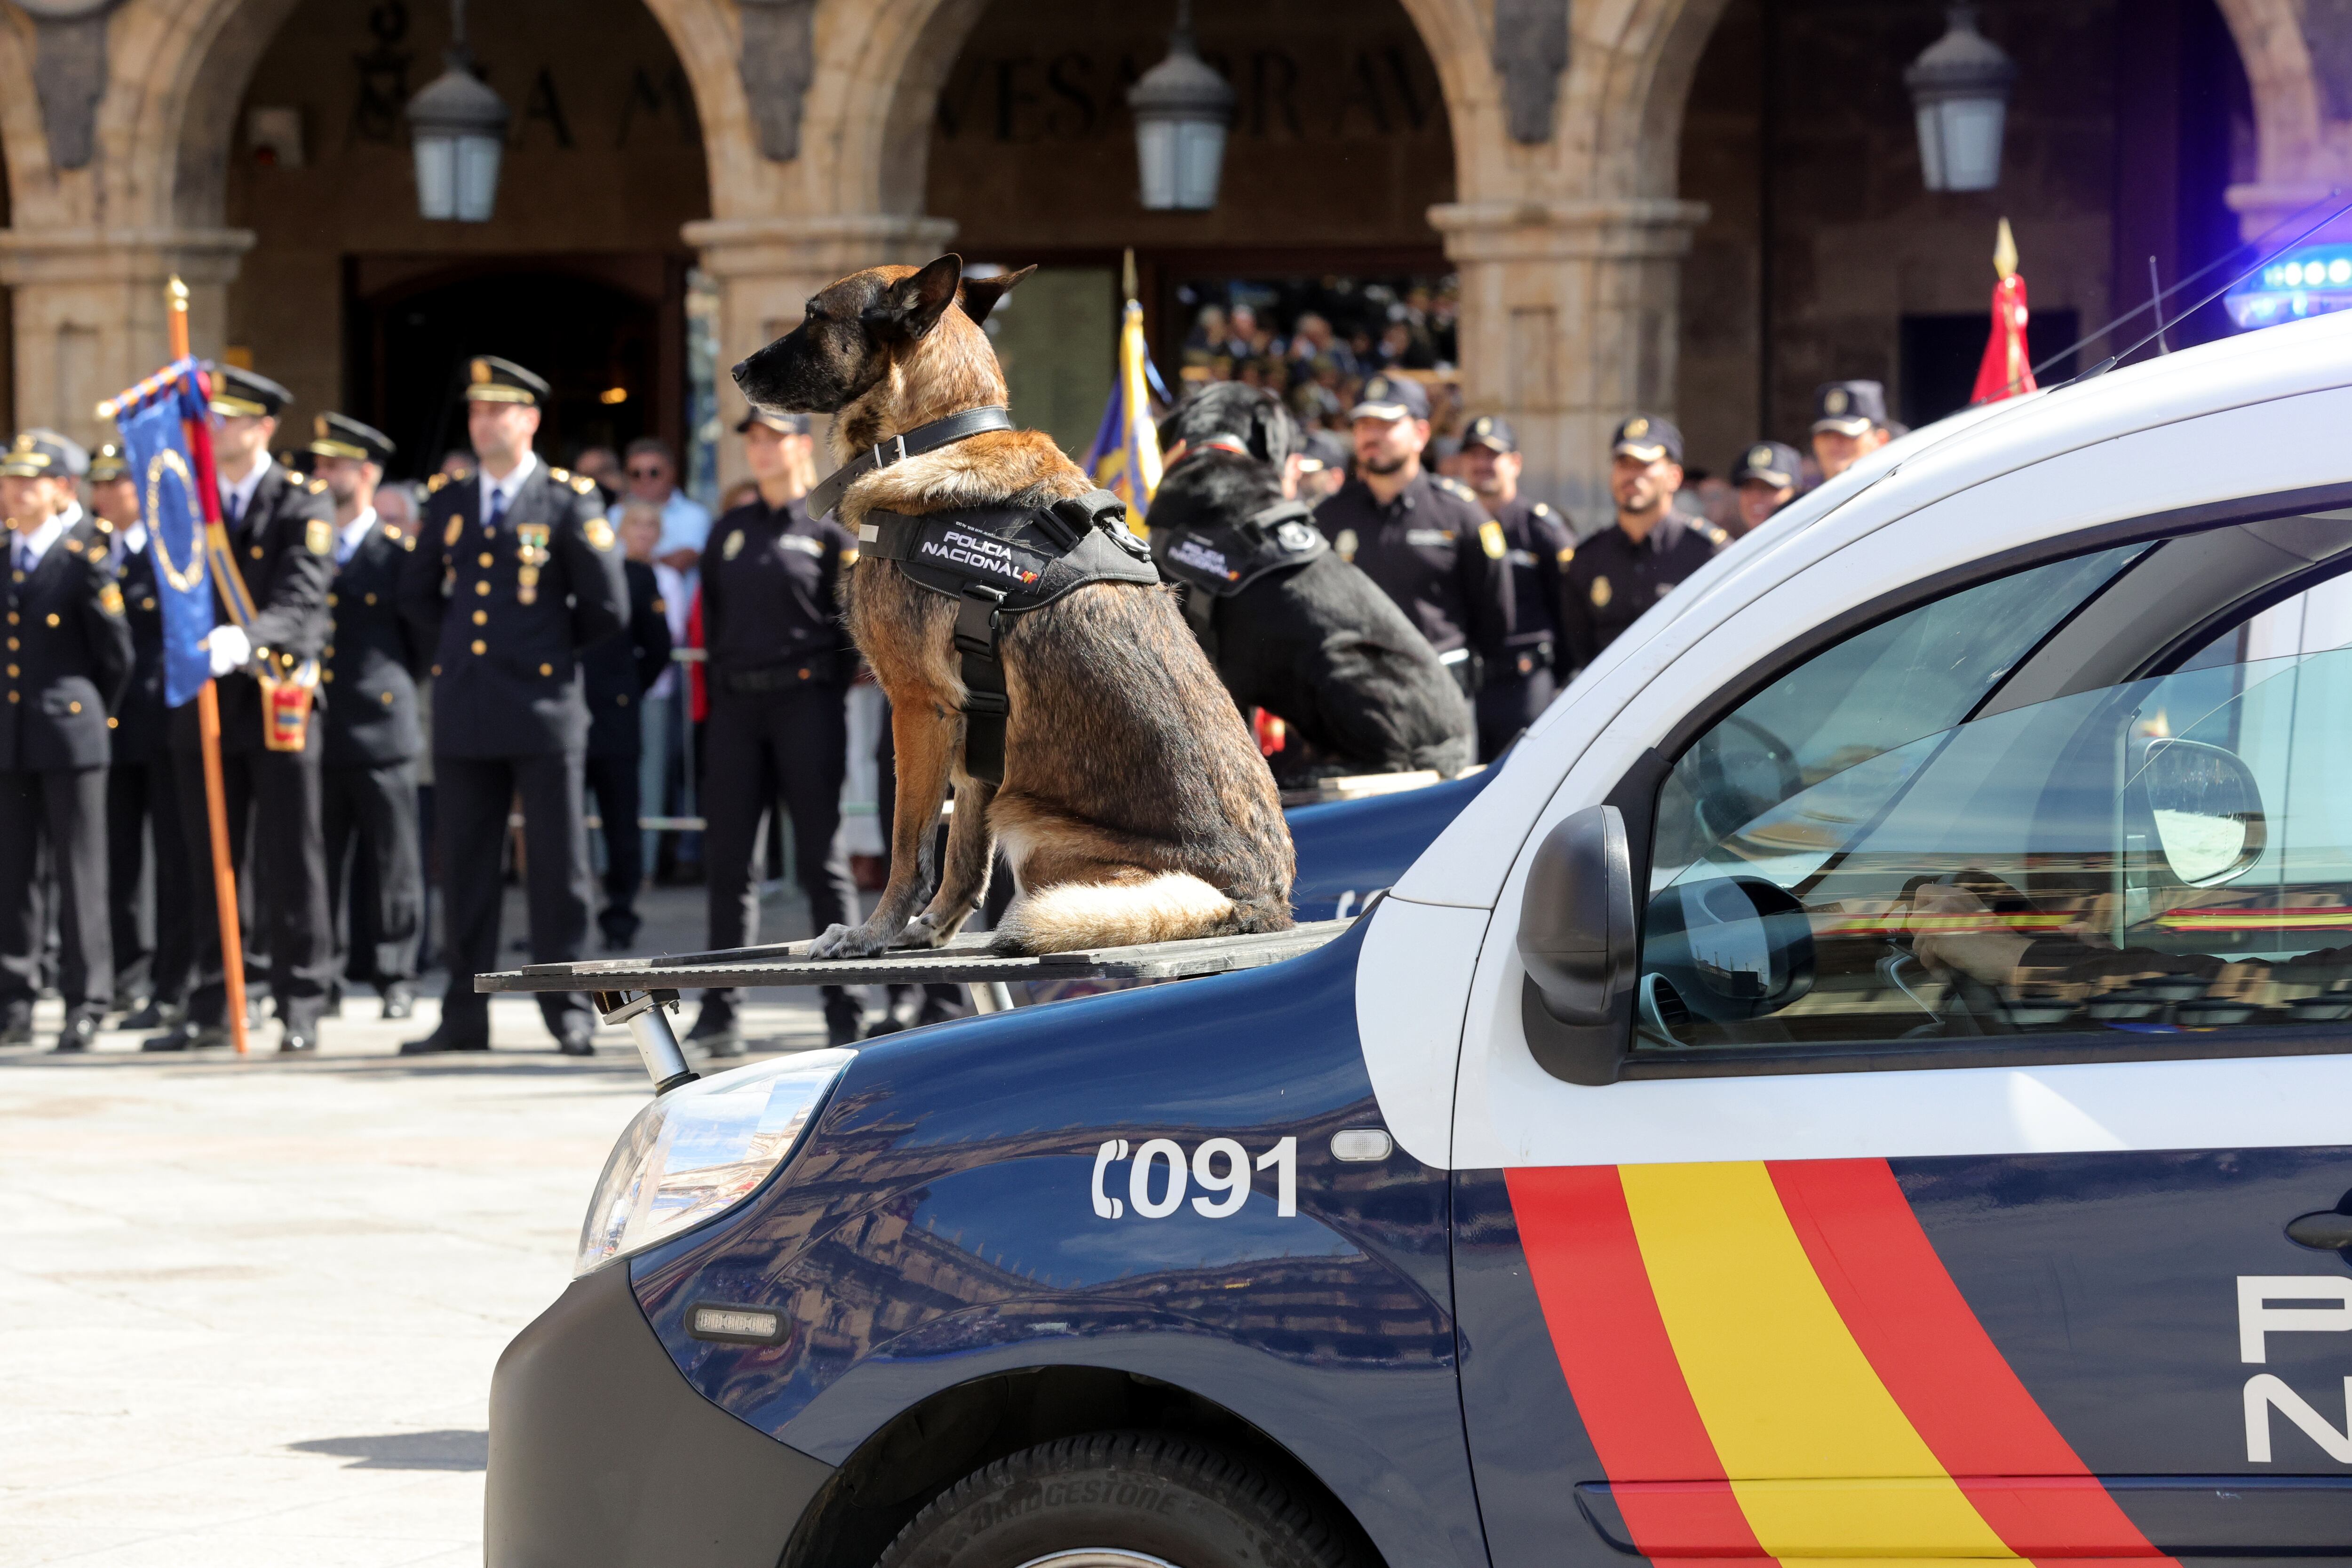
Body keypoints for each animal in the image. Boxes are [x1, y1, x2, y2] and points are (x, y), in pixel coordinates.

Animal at [729, 257, 1298, 959]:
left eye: (813, 316)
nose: (737, 370)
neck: (933, 434)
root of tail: (1258, 902)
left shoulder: (919, 708)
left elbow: (908, 849)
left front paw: (871, 934)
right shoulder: (979, 731)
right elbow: (963, 857)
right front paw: (929, 931)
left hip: (1033, 826)